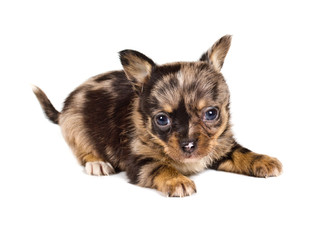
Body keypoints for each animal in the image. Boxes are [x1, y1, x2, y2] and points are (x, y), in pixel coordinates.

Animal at [33, 35, 282, 197]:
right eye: (162, 119)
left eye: (211, 114)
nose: (188, 145)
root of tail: (64, 110)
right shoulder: (141, 161)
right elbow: (161, 167)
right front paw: (177, 179)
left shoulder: (220, 145)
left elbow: (241, 152)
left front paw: (263, 160)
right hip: (76, 127)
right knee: (83, 150)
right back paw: (97, 163)